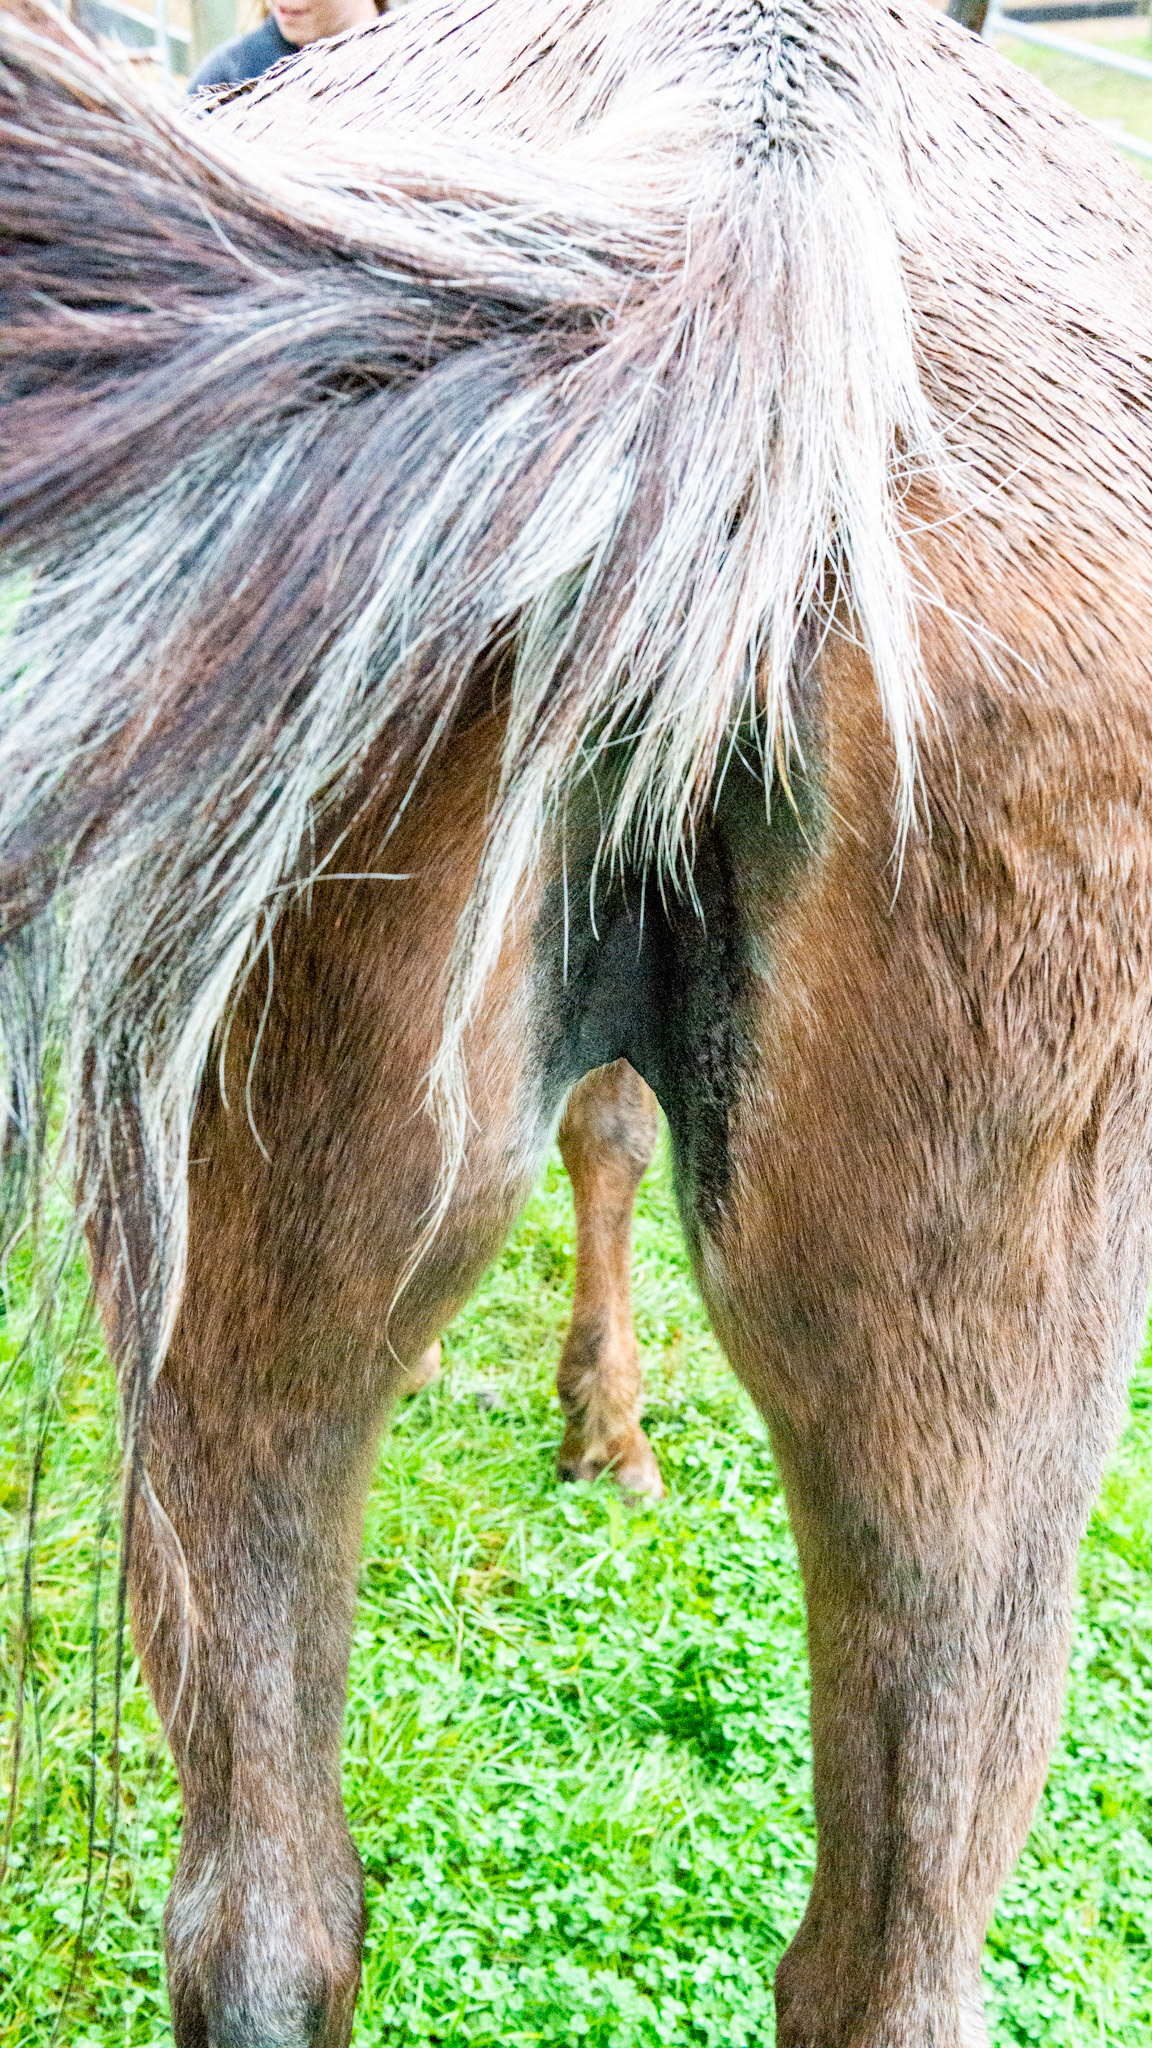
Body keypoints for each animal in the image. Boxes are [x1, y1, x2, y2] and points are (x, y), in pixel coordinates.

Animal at [1, 0, 1151, 2041]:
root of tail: (761, 192)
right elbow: (611, 1132)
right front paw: (605, 1425)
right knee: (891, 1962)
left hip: (231, 1231)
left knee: (263, 1916)